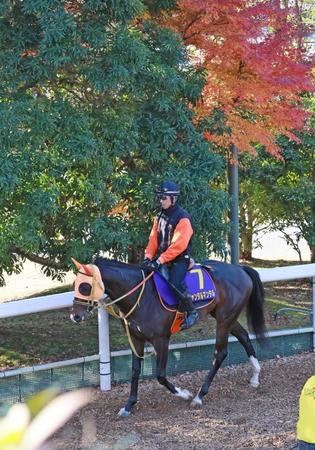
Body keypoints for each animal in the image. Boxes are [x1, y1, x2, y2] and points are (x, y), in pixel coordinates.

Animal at [71, 258, 266, 416]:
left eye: (85, 286)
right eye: (74, 284)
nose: (75, 316)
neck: (140, 295)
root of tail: (240, 269)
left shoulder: (161, 340)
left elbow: (160, 375)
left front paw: (184, 394)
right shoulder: (136, 337)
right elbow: (135, 370)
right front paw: (128, 405)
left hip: (225, 319)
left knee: (220, 353)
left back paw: (199, 396)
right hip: (224, 317)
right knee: (244, 336)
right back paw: (255, 376)